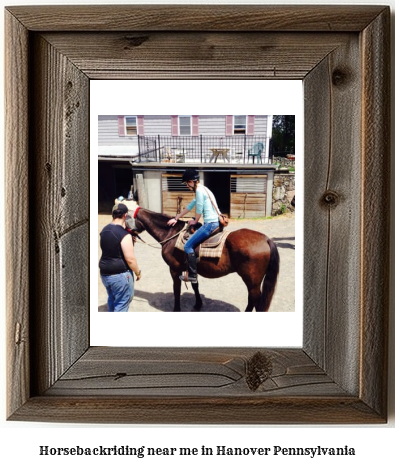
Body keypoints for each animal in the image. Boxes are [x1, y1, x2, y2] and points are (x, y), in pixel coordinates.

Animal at [128, 207, 280, 312]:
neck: (171, 234)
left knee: (254, 299)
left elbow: (176, 290)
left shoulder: (174, 269)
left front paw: (176, 308)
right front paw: (198, 304)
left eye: (127, 219)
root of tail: (266, 239)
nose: (129, 235)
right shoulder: (191, 269)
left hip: (252, 281)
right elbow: (195, 285)